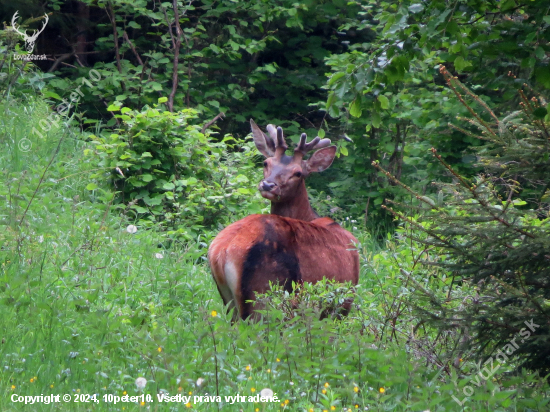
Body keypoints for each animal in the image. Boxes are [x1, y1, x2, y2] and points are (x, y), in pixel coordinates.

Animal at [208, 120, 362, 322]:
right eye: (266, 162)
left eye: (298, 173)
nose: (268, 185)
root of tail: (222, 251)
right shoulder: (343, 303)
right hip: (265, 295)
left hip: (229, 300)